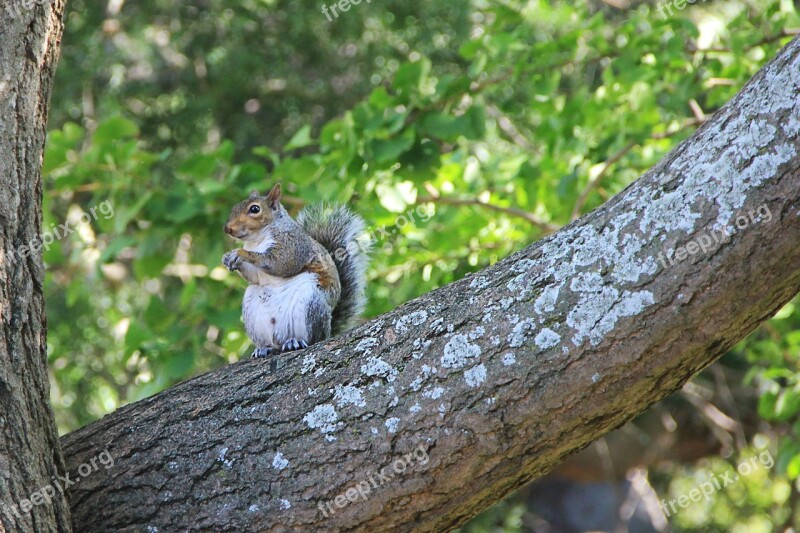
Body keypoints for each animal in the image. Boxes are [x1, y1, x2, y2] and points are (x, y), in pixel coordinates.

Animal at [223, 183, 370, 362]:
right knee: (272, 343)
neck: (257, 240)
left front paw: (240, 253)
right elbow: (253, 276)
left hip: (311, 302)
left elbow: (279, 263)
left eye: (255, 209)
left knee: (313, 339)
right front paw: (227, 257)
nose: (227, 228)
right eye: (234, 207)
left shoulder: (292, 245)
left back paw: (295, 342)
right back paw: (264, 349)